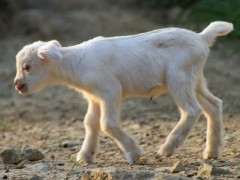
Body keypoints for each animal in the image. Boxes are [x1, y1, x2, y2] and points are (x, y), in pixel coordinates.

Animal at [14, 21, 232, 163]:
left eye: (27, 66)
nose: (17, 85)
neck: (76, 63)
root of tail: (201, 37)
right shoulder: (95, 97)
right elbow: (90, 123)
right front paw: (85, 156)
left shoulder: (110, 90)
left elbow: (107, 123)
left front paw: (134, 153)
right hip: (195, 78)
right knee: (214, 104)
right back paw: (211, 152)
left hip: (178, 77)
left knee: (191, 110)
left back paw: (167, 148)